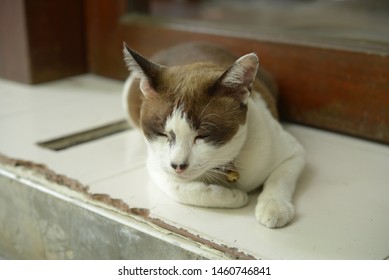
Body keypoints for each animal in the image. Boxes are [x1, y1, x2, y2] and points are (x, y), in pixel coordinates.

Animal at [123, 42, 304, 229]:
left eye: (204, 135)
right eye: (162, 134)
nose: (178, 166)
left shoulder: (293, 152)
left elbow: (280, 178)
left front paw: (274, 206)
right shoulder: (157, 166)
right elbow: (179, 189)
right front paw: (234, 196)